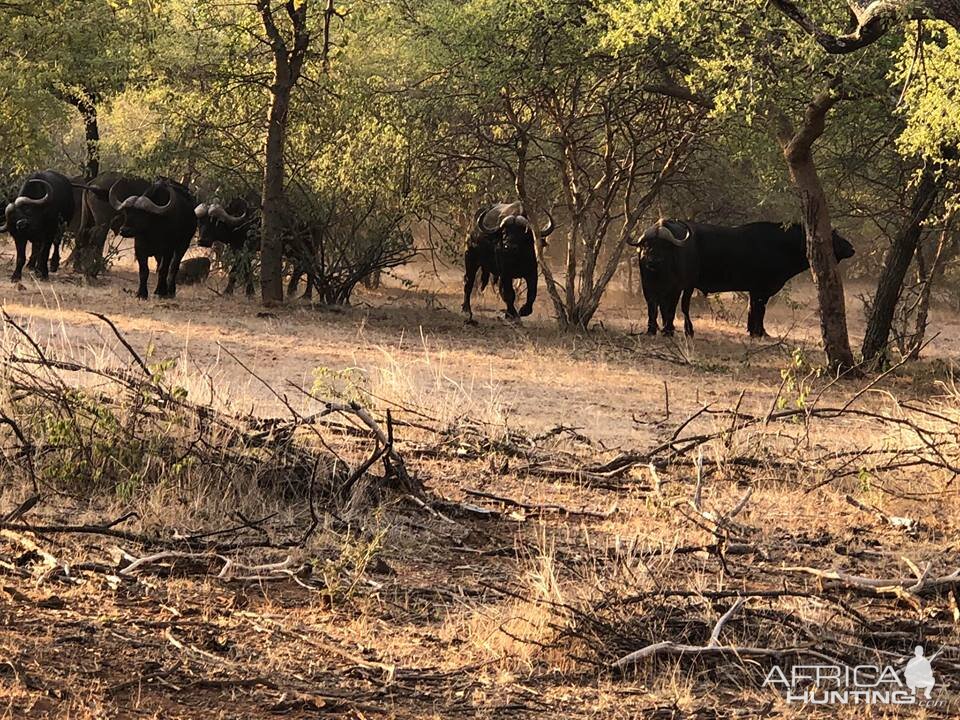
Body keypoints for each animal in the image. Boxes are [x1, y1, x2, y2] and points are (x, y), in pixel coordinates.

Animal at [632, 219, 860, 338]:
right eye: (833, 237)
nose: (851, 248)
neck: (780, 244)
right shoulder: (761, 289)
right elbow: (759, 311)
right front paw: (760, 332)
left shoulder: (754, 290)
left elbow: (752, 310)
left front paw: (753, 330)